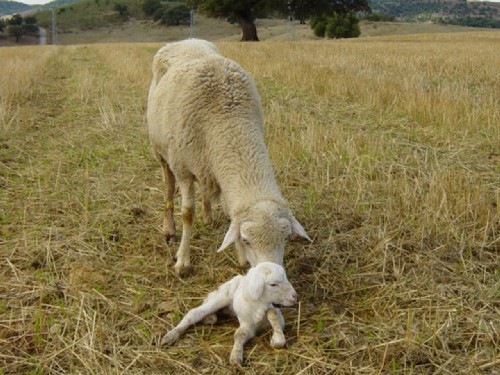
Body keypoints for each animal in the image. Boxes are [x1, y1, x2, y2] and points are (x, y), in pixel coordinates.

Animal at [146, 39, 308, 278]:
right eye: (247, 240)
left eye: (286, 238)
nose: (272, 273)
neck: (228, 118)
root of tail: (184, 41)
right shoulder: (182, 168)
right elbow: (187, 213)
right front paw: (183, 261)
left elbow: (232, 213)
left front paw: (239, 257)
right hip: (162, 153)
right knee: (168, 187)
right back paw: (169, 228)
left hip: (203, 163)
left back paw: (208, 215)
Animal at [162, 262, 298, 366]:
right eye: (273, 284)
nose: (295, 296)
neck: (259, 305)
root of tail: (241, 278)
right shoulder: (247, 323)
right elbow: (239, 334)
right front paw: (236, 357)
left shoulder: (276, 316)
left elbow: (272, 314)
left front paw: (277, 339)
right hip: (223, 296)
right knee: (195, 312)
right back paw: (171, 335)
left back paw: (210, 318)